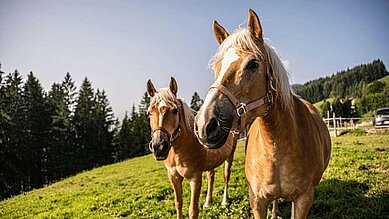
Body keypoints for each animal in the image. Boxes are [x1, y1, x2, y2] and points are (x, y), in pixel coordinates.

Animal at [146, 77, 235, 219]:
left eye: (175, 110)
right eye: (149, 112)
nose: (159, 147)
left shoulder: (195, 179)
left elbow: (193, 211)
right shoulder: (174, 177)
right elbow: (178, 203)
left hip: (230, 157)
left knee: (226, 176)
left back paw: (224, 201)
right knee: (211, 177)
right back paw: (208, 202)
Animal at [194, 9, 330, 219]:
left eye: (252, 64)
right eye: (215, 68)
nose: (204, 125)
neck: (277, 145)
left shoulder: (303, 201)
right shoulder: (257, 201)